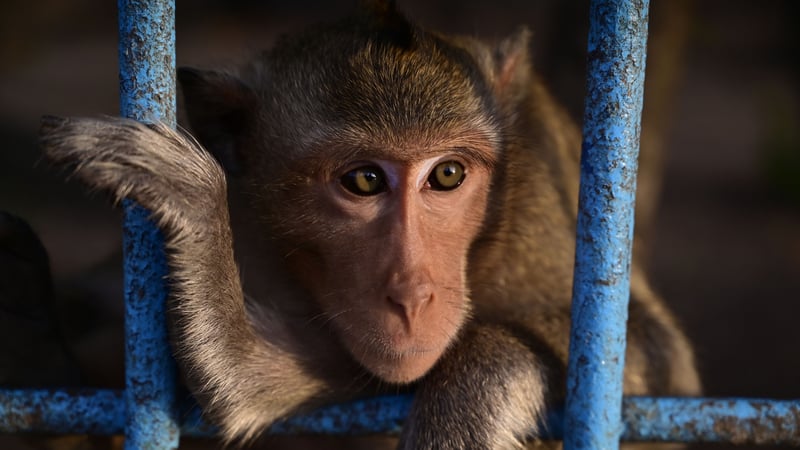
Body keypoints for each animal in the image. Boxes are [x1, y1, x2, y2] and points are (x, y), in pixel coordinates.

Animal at [38, 1, 700, 448]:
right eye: (363, 181)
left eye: (448, 174)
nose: (412, 296)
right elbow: (261, 383)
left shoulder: (541, 188)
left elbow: (658, 364)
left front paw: (467, 398)